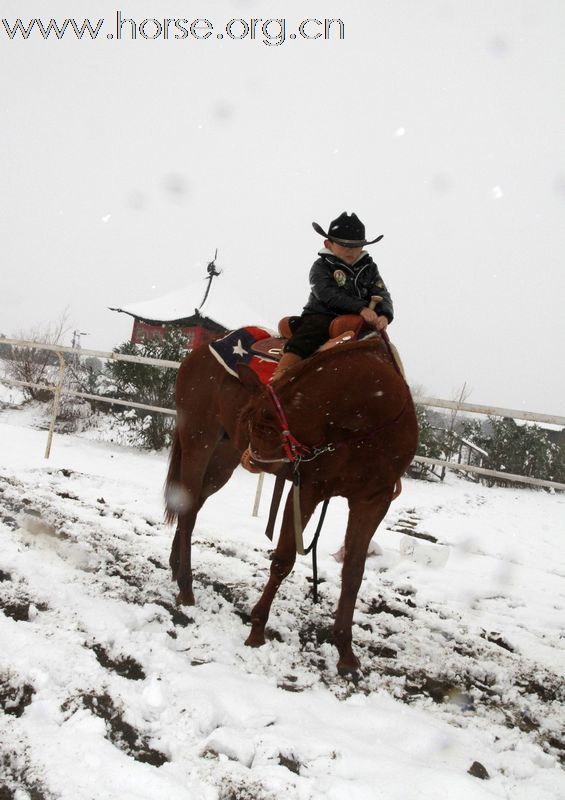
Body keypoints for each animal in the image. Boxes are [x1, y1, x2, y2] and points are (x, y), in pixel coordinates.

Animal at [165, 334, 416, 672]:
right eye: (254, 422)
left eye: (265, 426)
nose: (254, 459)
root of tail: (203, 350)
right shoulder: (306, 488)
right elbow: (283, 559)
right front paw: (257, 629)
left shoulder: (373, 501)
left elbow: (354, 572)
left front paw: (346, 652)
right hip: (198, 441)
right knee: (190, 509)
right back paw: (186, 587)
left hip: (223, 456)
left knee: (191, 505)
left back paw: (176, 566)